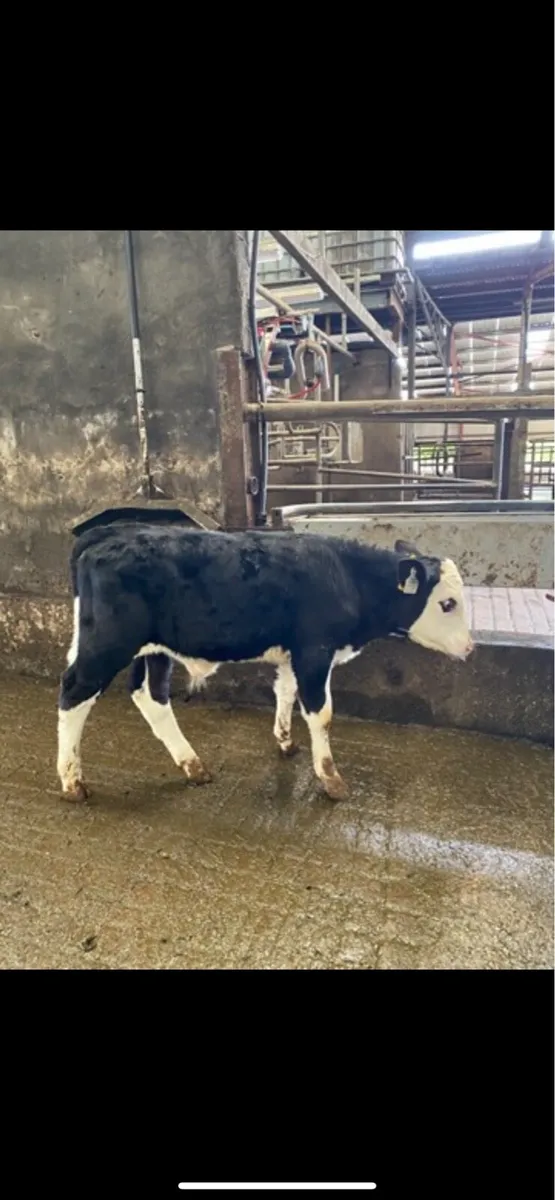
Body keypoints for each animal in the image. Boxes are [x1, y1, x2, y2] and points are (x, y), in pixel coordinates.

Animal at [57, 510, 473, 804]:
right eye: (447, 604)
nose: (470, 648)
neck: (347, 577)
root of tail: (109, 532)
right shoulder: (314, 651)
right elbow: (321, 713)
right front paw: (330, 779)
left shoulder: (293, 653)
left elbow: (285, 693)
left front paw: (286, 742)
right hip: (106, 643)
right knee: (74, 692)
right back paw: (72, 781)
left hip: (155, 649)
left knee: (150, 695)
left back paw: (193, 766)